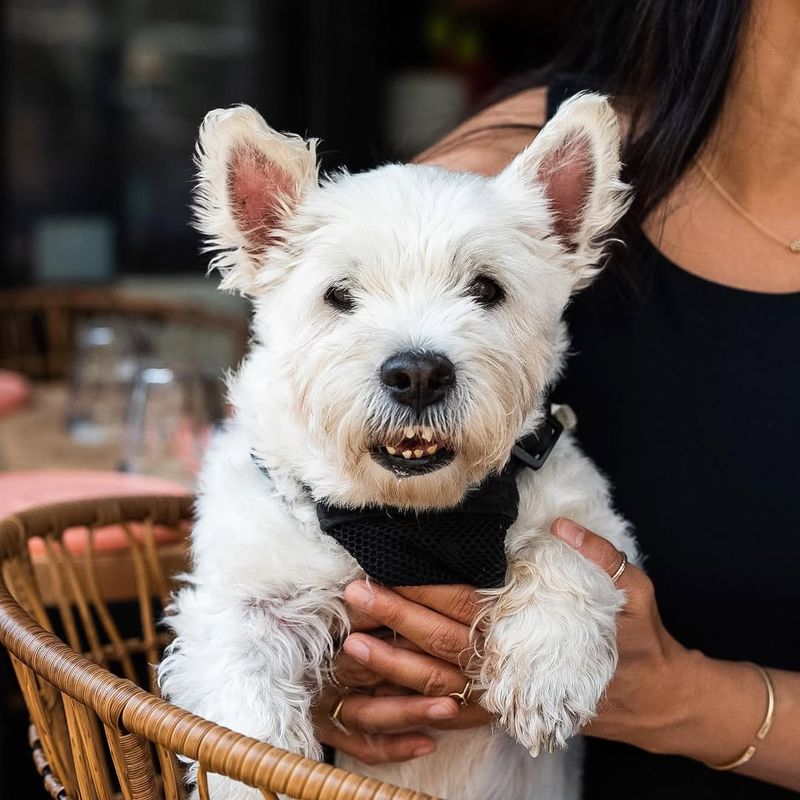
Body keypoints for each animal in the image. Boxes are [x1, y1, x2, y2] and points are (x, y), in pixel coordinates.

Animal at [159, 94, 640, 800]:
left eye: (487, 289)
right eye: (339, 295)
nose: (417, 374)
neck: (411, 519)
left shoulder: (586, 516)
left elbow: (562, 551)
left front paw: (550, 674)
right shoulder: (246, 591)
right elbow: (240, 696)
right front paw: (250, 771)